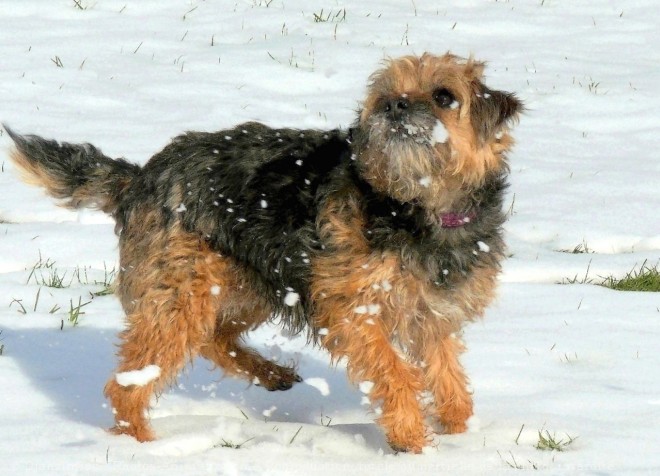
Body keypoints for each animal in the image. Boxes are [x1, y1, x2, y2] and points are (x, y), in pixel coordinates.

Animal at [3, 53, 520, 454]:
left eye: (444, 96)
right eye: (384, 94)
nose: (394, 106)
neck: (417, 208)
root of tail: (140, 177)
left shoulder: (434, 313)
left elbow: (447, 373)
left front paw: (458, 430)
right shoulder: (352, 309)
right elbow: (394, 370)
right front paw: (412, 439)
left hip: (251, 283)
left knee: (214, 336)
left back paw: (271, 375)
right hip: (181, 294)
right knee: (129, 382)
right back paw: (144, 447)